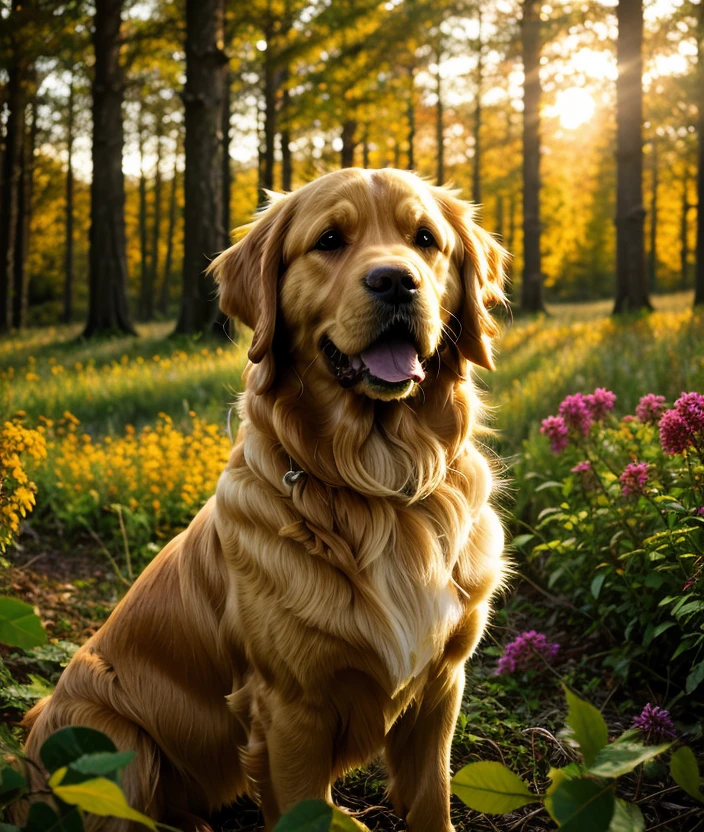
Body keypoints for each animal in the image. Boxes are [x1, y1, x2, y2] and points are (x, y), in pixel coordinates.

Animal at [19, 169, 508, 832]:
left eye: (425, 239)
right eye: (329, 240)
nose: (395, 280)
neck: (377, 485)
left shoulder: (442, 685)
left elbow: (433, 796)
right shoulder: (289, 710)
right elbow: (303, 805)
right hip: (111, 734)